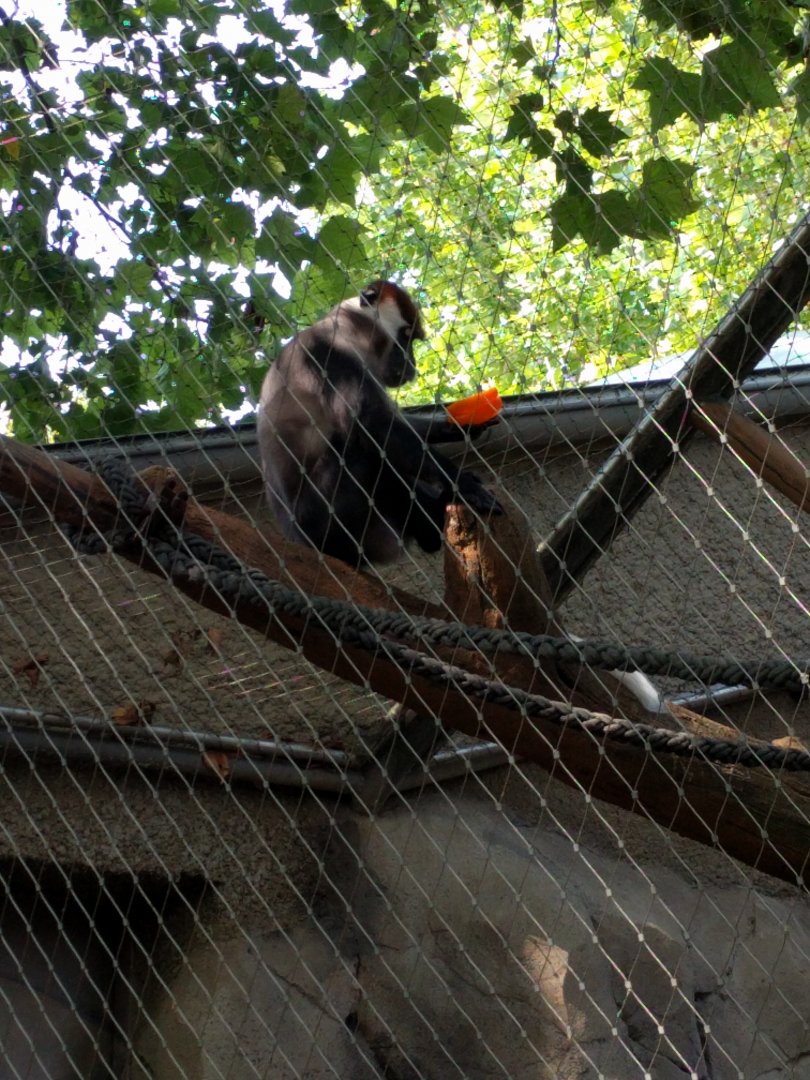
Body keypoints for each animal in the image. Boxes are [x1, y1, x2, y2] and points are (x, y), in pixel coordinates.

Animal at [257, 280, 501, 567]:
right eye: (405, 338)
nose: (411, 363)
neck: (347, 329)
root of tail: (296, 538)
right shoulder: (325, 352)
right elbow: (373, 425)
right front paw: (462, 484)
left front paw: (456, 427)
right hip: (324, 522)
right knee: (365, 451)